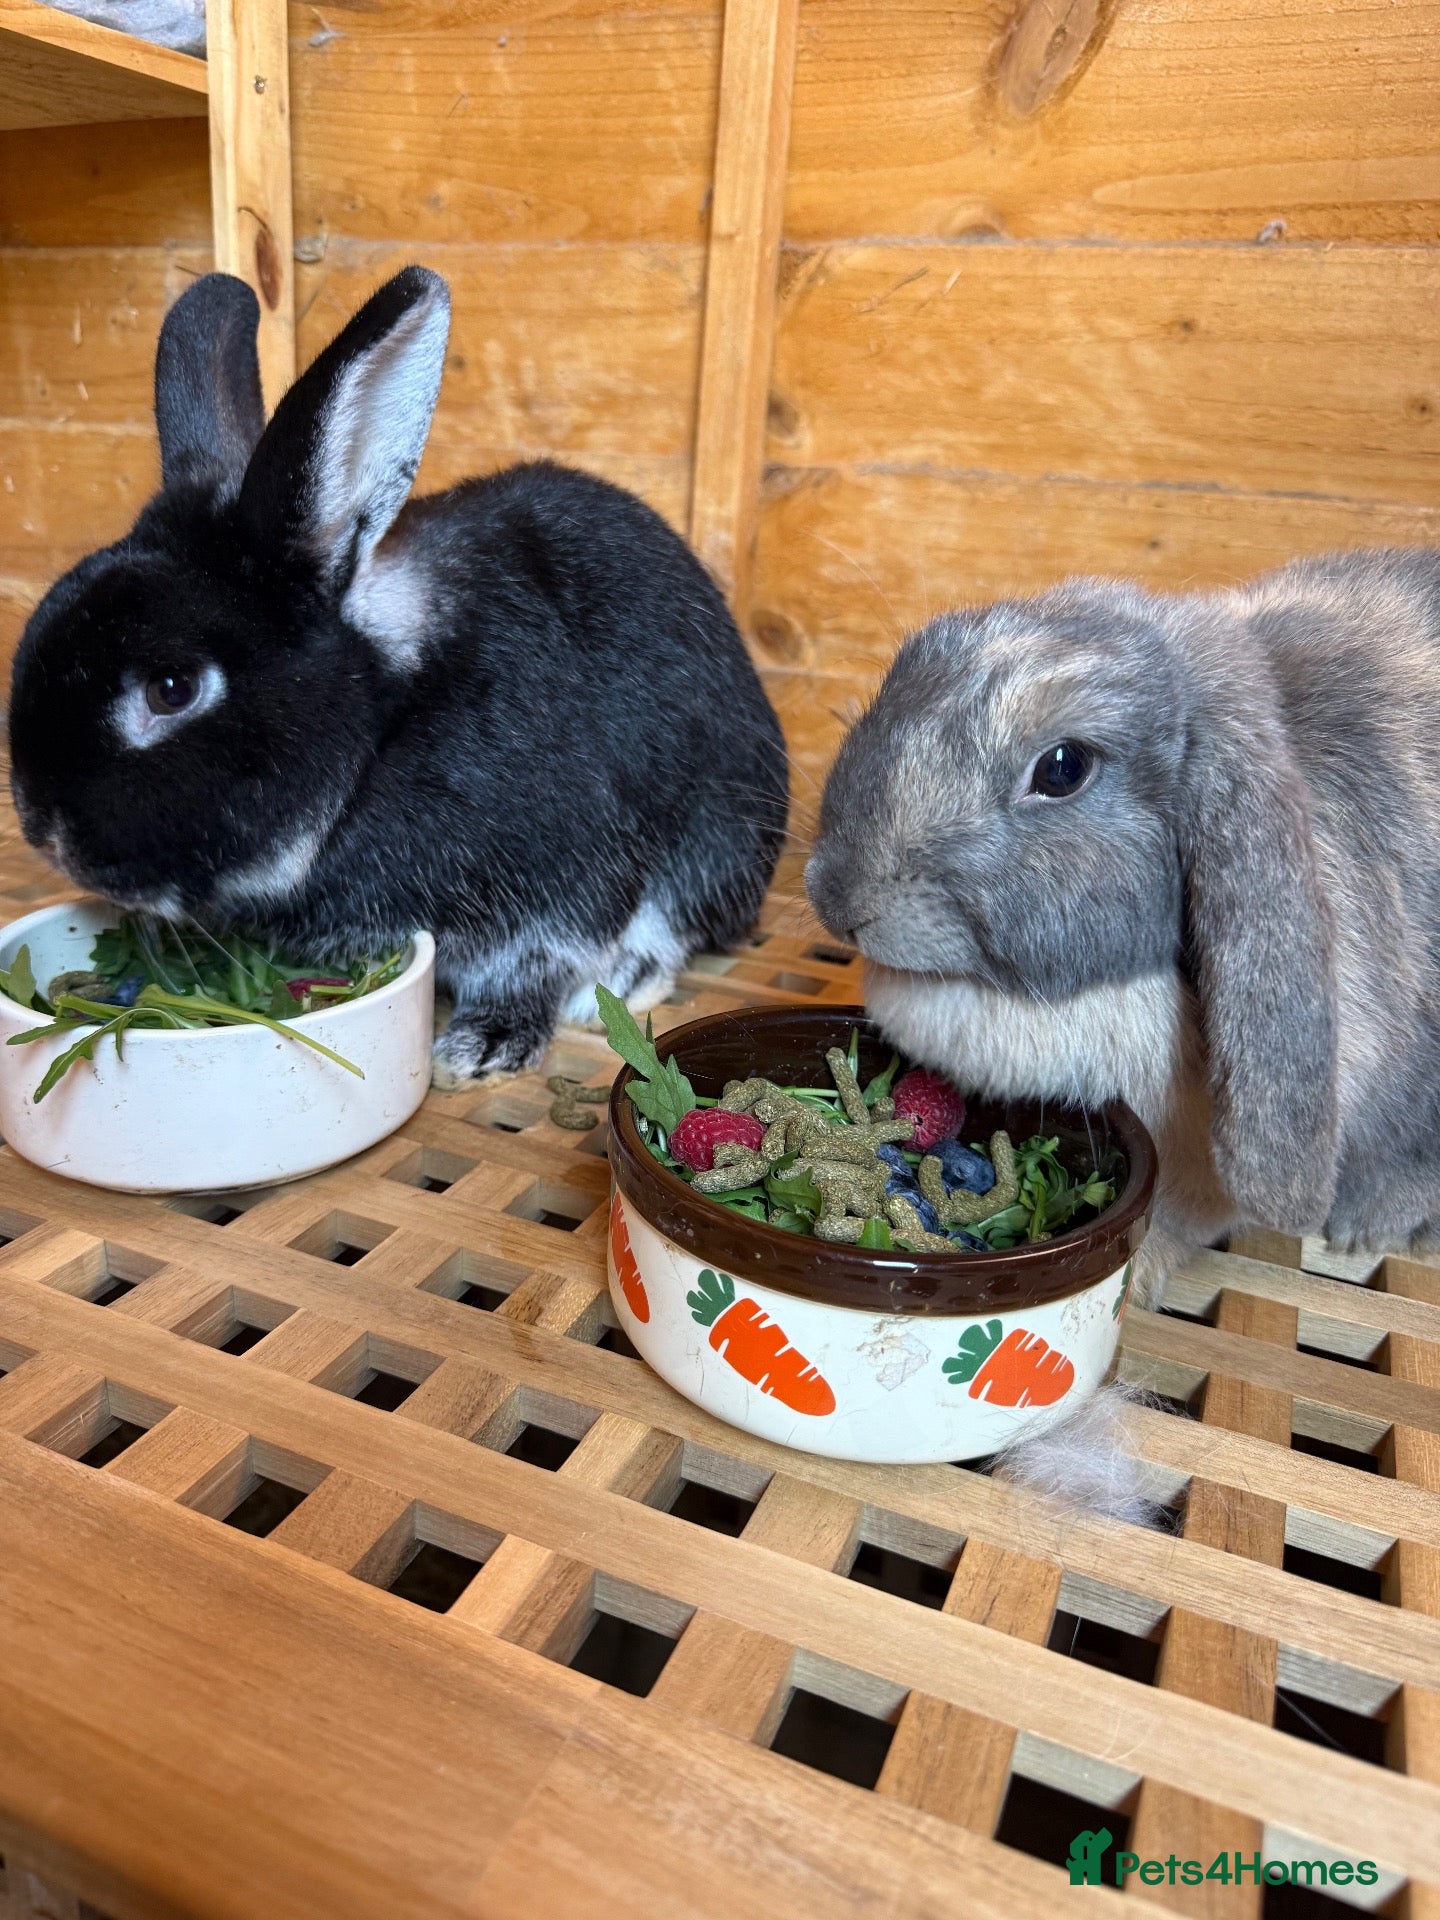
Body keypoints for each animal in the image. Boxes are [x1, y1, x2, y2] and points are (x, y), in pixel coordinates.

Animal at [8, 268, 788, 1082]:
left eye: (171, 690)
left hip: (721, 834)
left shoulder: (558, 881)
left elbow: (535, 964)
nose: (44, 832)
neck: (382, 734)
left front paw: (485, 1044)